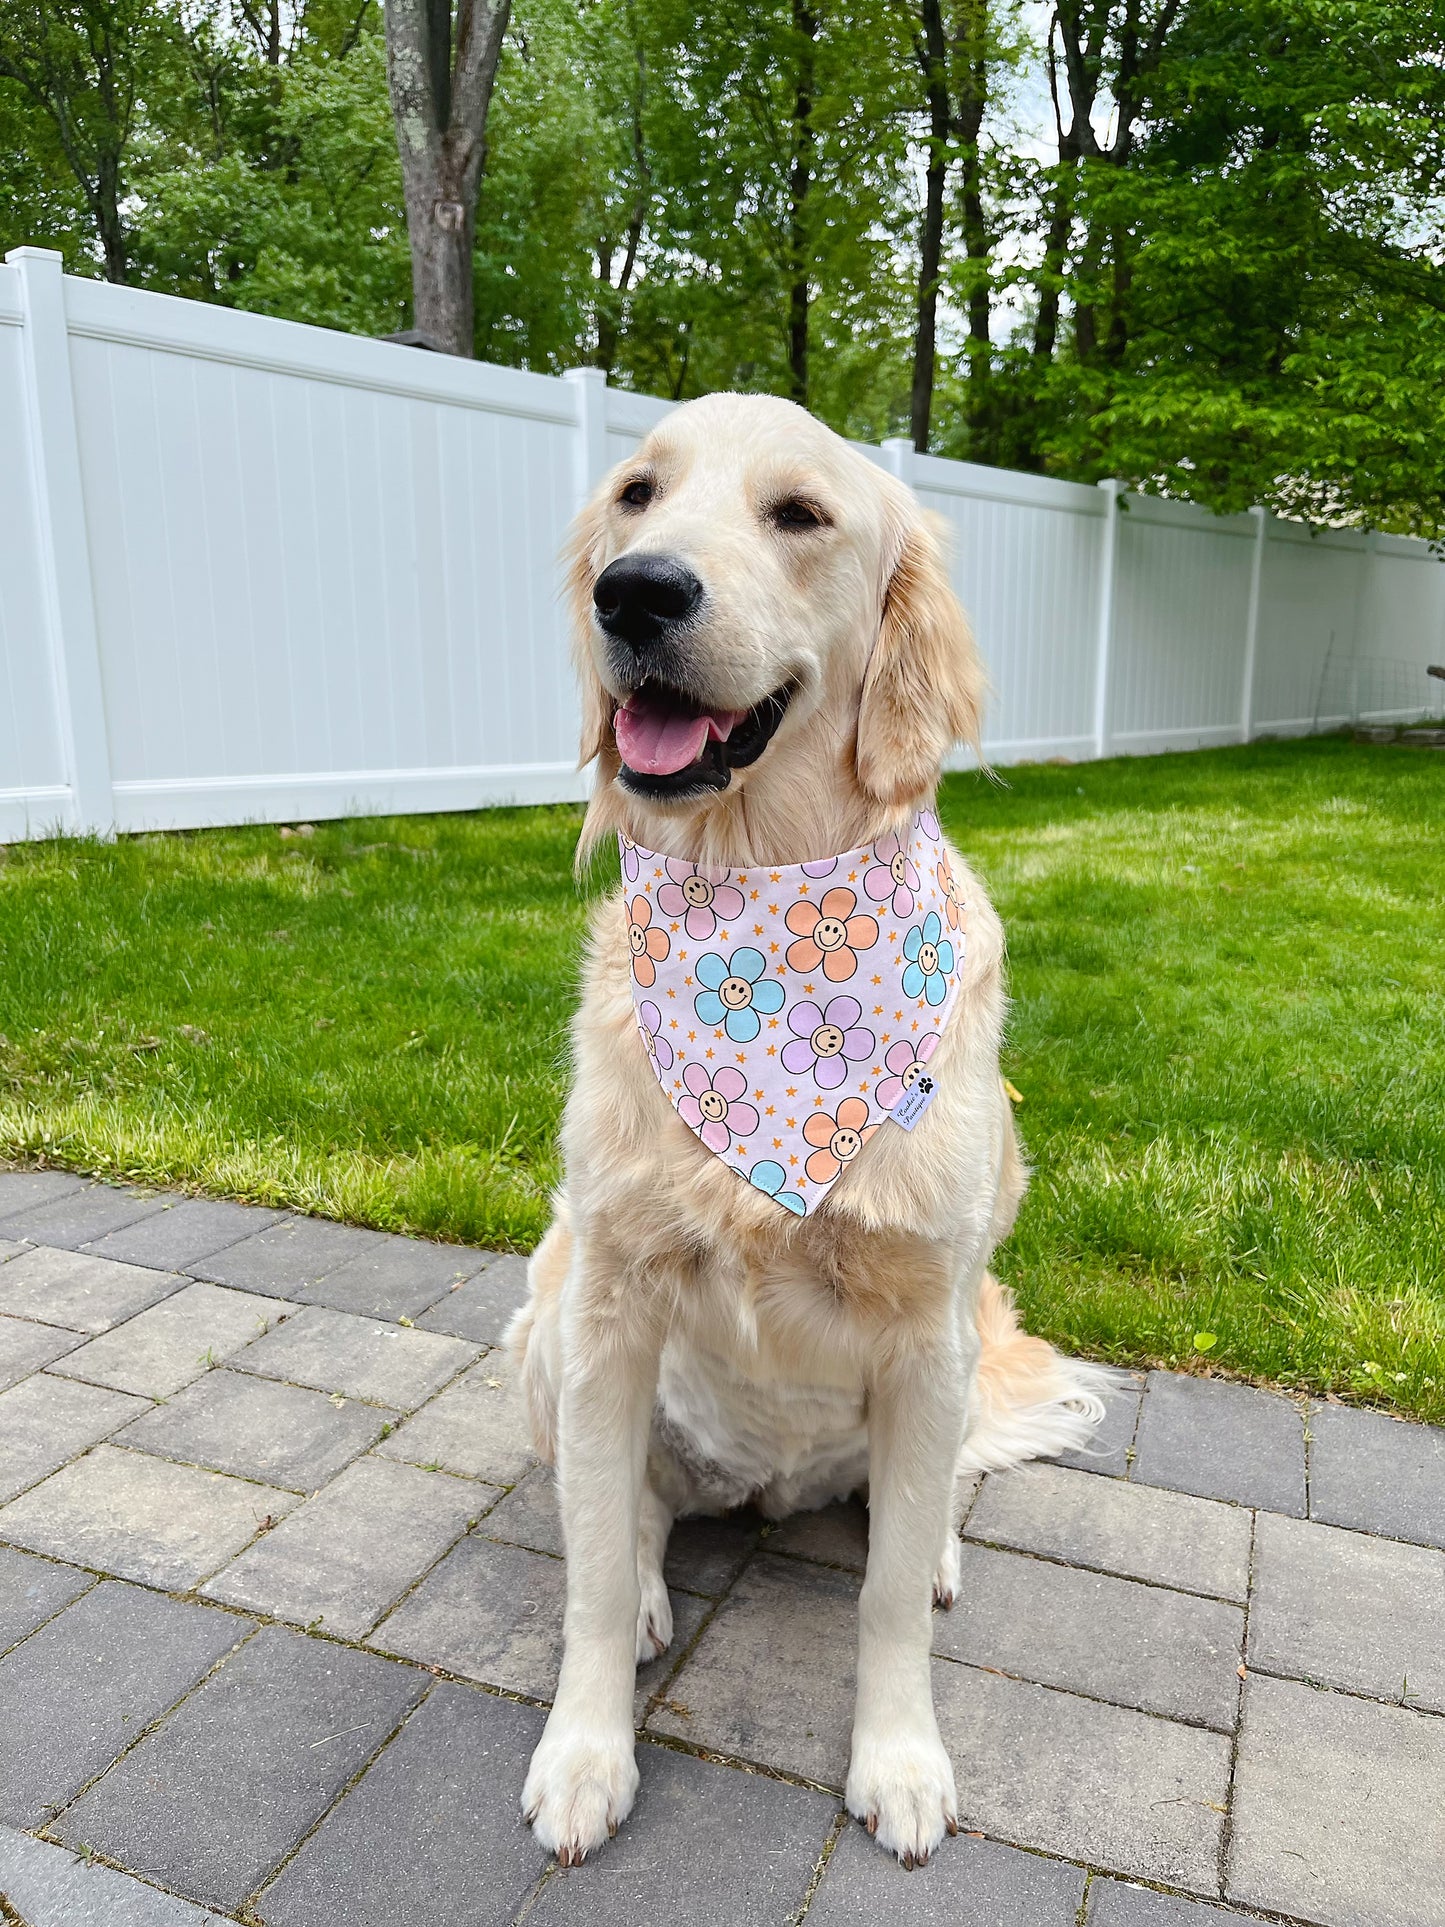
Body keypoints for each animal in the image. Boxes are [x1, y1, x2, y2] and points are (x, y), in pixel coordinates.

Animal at [516, 391, 1117, 1865]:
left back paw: (939, 1542)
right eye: (636, 494)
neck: (758, 888)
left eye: (799, 514)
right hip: (545, 1315)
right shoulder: (607, 1301)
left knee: (920, 1497)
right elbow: (593, 1574)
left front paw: (898, 1758)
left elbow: (886, 1596)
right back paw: (656, 1578)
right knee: (627, 1513)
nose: (635, 591)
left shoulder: (923, 1321)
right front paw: (585, 1749)